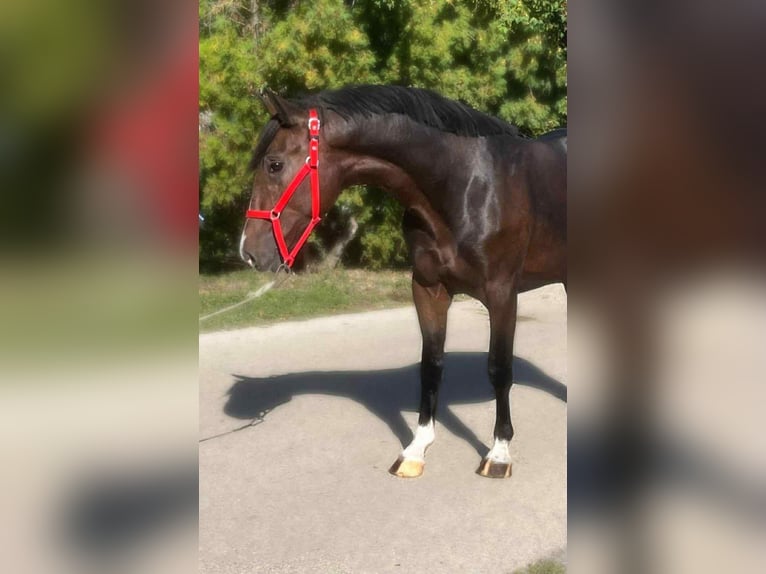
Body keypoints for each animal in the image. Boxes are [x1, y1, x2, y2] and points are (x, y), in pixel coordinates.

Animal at [239, 85, 566, 478]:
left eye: (273, 164)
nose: (248, 252)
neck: (465, 184)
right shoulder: (428, 289)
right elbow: (431, 365)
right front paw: (416, 449)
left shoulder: (502, 294)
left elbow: (499, 368)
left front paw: (499, 454)